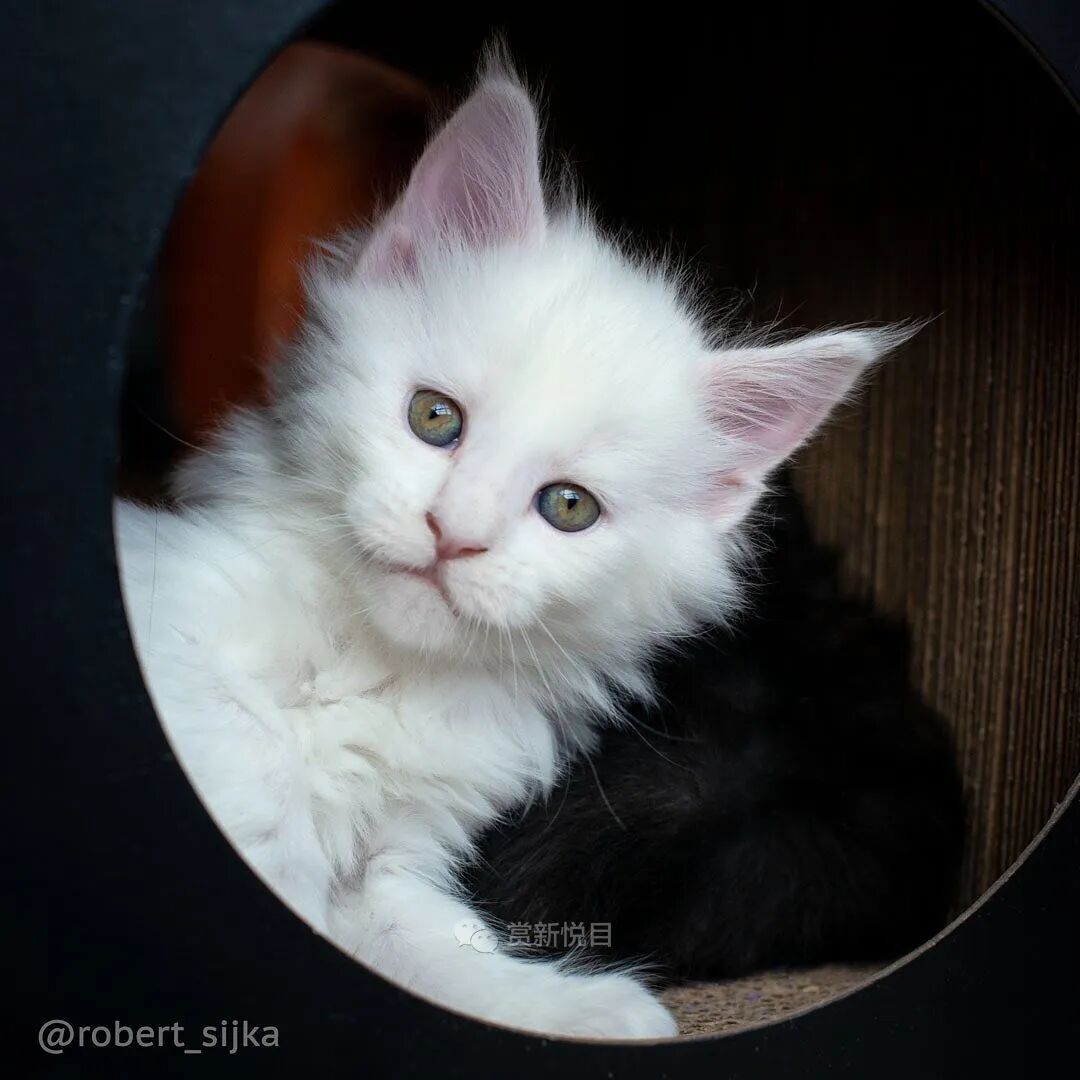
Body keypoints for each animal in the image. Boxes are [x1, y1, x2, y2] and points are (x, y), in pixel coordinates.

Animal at [115, 56, 915, 1039]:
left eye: (568, 507)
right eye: (434, 418)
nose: (453, 534)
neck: (382, 671)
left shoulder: (396, 864)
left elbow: (434, 951)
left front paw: (600, 1015)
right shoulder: (182, 630)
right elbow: (255, 762)